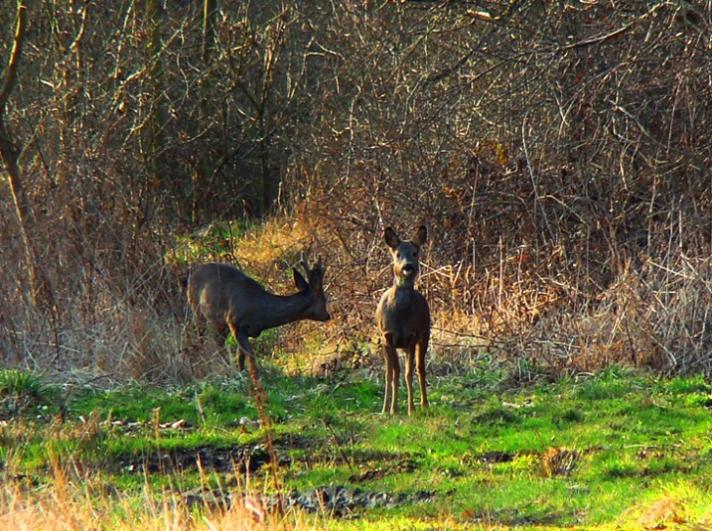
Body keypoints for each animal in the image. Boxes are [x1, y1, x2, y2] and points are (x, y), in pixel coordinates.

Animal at [186, 256, 330, 372]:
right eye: (325, 299)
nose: (327, 315)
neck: (261, 313)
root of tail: (192, 274)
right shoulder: (234, 323)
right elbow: (250, 355)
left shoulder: (248, 331)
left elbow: (241, 357)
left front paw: (241, 373)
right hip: (196, 309)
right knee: (201, 338)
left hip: (220, 324)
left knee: (217, 343)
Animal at [376, 224, 432, 416]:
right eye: (398, 253)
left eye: (415, 252)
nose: (408, 266)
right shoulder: (387, 337)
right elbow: (393, 374)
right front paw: (390, 409)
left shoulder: (412, 337)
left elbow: (408, 373)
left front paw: (411, 409)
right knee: (390, 373)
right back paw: (387, 408)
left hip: (425, 335)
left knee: (421, 369)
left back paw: (424, 404)